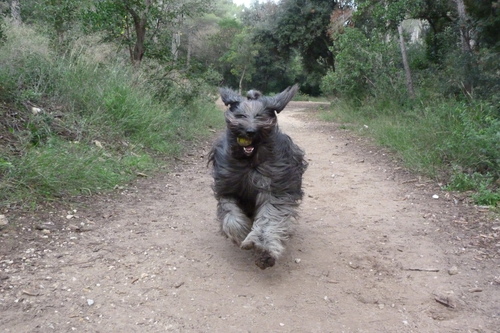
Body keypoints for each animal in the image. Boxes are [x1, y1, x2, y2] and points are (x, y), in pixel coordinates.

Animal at [208, 84, 308, 268]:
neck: (250, 163)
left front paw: (263, 249)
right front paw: (241, 233)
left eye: (260, 116)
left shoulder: (275, 186)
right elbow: (231, 215)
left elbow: (270, 217)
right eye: (240, 115)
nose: (250, 131)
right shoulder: (228, 186)